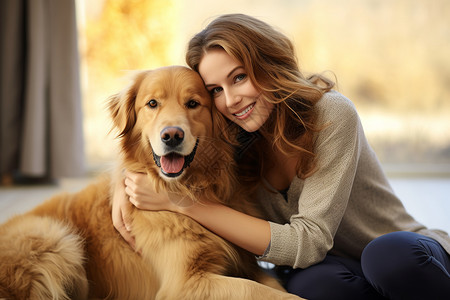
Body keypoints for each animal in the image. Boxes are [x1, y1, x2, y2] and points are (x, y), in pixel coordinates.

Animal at [0, 67, 304, 298]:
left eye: (193, 103)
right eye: (152, 104)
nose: (172, 136)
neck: (190, 188)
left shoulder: (247, 264)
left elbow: (274, 286)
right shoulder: (185, 284)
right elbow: (264, 293)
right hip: (55, 237)